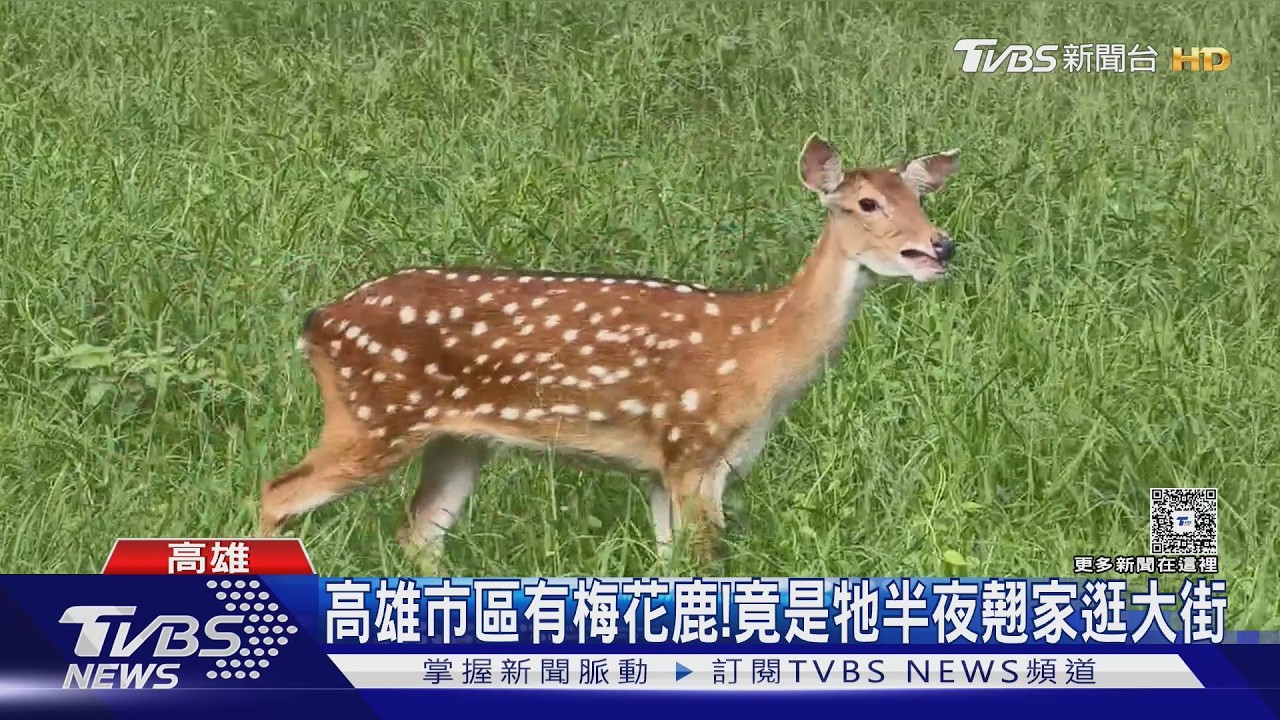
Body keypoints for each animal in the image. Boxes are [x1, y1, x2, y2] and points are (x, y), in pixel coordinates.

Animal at [258, 133, 960, 566]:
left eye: (920, 198)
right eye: (867, 202)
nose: (940, 246)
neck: (765, 347)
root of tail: (317, 323)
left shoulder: (661, 468)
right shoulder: (692, 449)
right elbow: (708, 566)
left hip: (457, 440)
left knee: (417, 535)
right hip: (372, 416)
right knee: (276, 492)